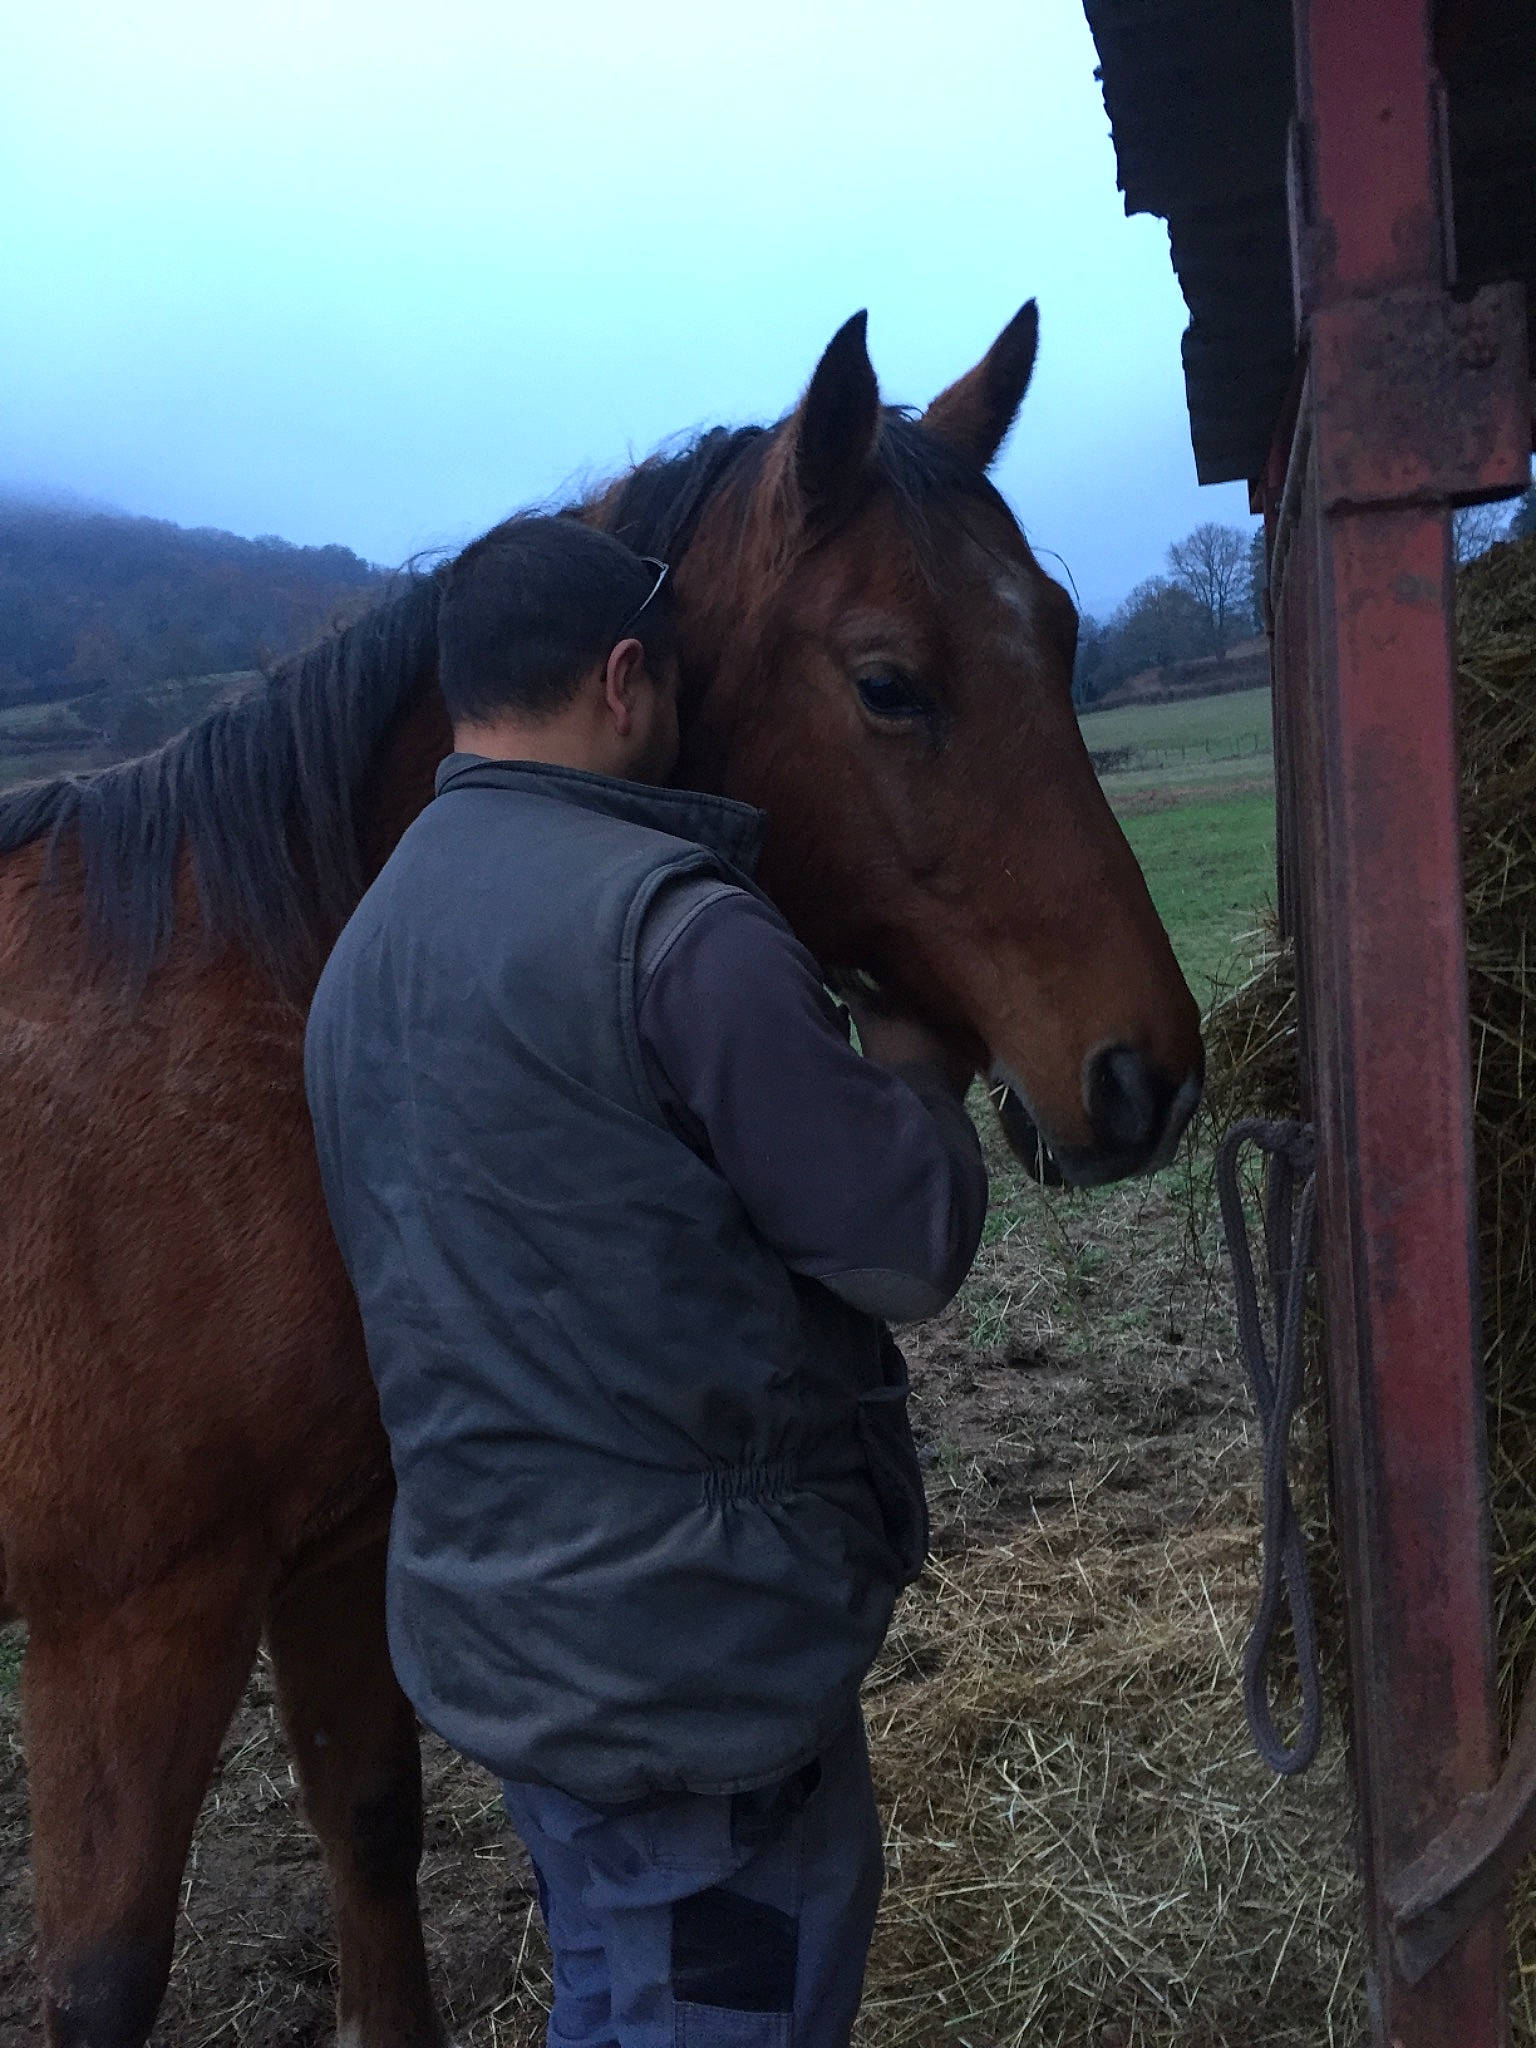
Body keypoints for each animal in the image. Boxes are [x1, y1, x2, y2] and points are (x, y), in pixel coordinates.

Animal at [0, 303, 1203, 2047]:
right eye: (889, 683)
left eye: (1057, 635)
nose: (1146, 1075)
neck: (241, 1021)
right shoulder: (127, 1625)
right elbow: (101, 1985)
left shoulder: (337, 1544)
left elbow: (370, 1828)